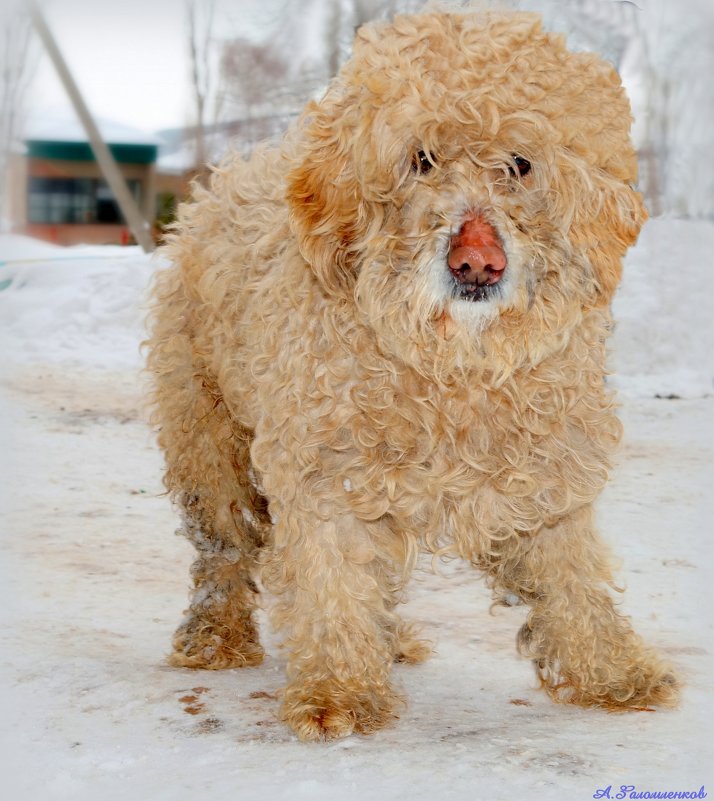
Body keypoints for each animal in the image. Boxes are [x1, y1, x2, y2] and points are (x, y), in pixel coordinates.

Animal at [146, 9, 680, 740]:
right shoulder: (325, 471)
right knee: (223, 552)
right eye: (421, 159)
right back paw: (215, 634)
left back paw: (389, 639)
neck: (451, 367)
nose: (477, 261)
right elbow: (334, 577)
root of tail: (226, 178)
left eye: (520, 164)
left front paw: (612, 669)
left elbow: (572, 575)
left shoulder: (545, 473)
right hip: (208, 439)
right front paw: (339, 687)